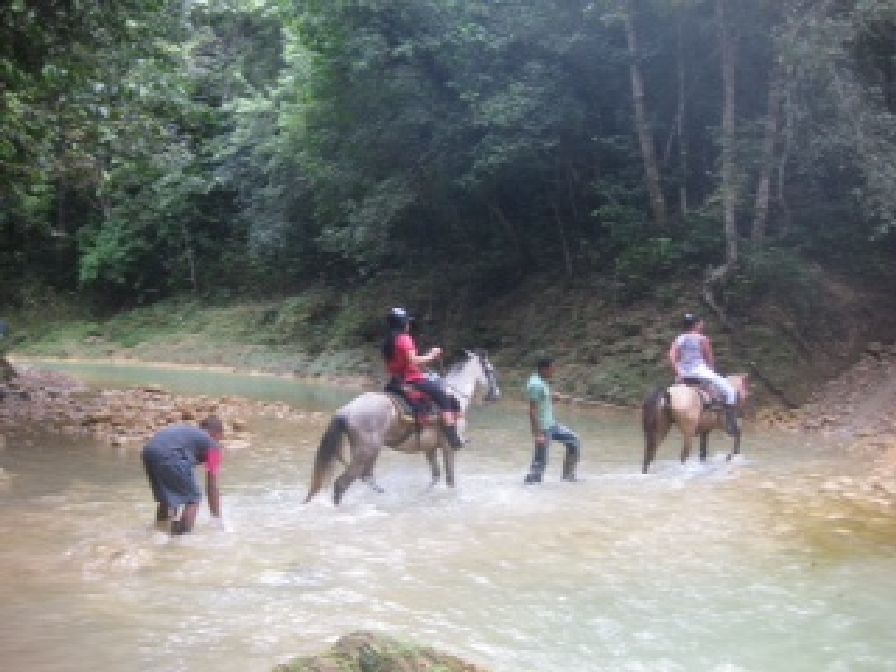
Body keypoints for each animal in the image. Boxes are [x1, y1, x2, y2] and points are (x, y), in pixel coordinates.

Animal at [300, 352, 496, 504]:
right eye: (491, 370)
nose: (496, 395)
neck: (455, 395)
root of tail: (347, 409)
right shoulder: (448, 447)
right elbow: (450, 479)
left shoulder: (430, 448)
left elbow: (435, 476)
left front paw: (425, 495)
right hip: (366, 451)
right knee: (343, 483)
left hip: (370, 451)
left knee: (366, 477)